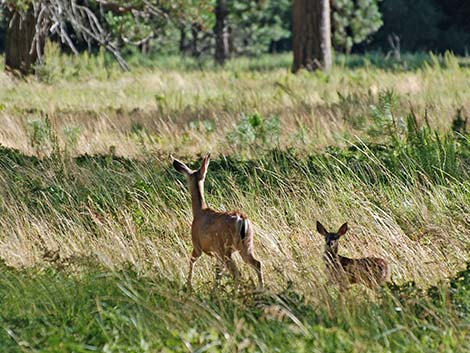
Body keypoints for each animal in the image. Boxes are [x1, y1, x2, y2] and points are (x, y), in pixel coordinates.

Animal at [173, 154, 264, 288]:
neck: (200, 211)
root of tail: (241, 218)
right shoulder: (216, 254)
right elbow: (218, 273)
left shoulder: (197, 245)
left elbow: (192, 261)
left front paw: (189, 285)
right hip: (246, 244)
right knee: (257, 263)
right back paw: (261, 288)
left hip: (225, 248)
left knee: (237, 273)